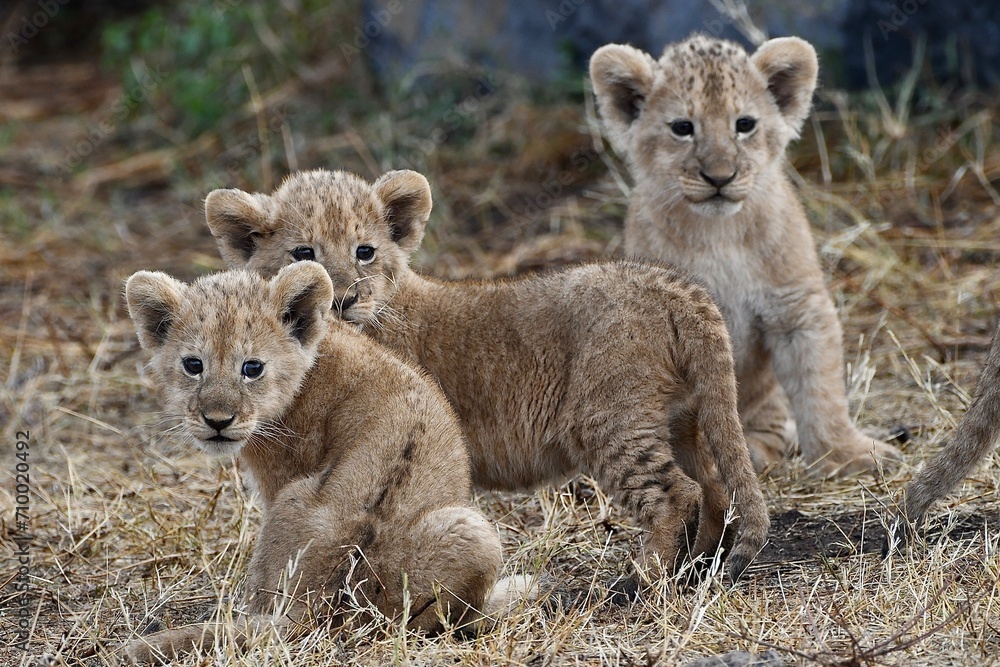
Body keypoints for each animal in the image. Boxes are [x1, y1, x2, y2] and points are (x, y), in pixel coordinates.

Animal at [123, 262, 516, 663]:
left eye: (252, 368)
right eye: (193, 365)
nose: (217, 421)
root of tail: (322, 604)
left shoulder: (280, 479)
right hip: (471, 533)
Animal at [202, 168, 769, 583]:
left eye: (365, 251)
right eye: (304, 252)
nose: (343, 299)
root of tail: (673, 284)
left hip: (609, 419)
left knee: (679, 493)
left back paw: (643, 578)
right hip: (683, 418)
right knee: (716, 490)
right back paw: (697, 570)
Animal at [589, 34, 903, 476]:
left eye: (745, 124)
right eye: (682, 128)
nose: (720, 177)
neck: (720, 235)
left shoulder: (796, 308)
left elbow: (820, 389)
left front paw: (846, 454)